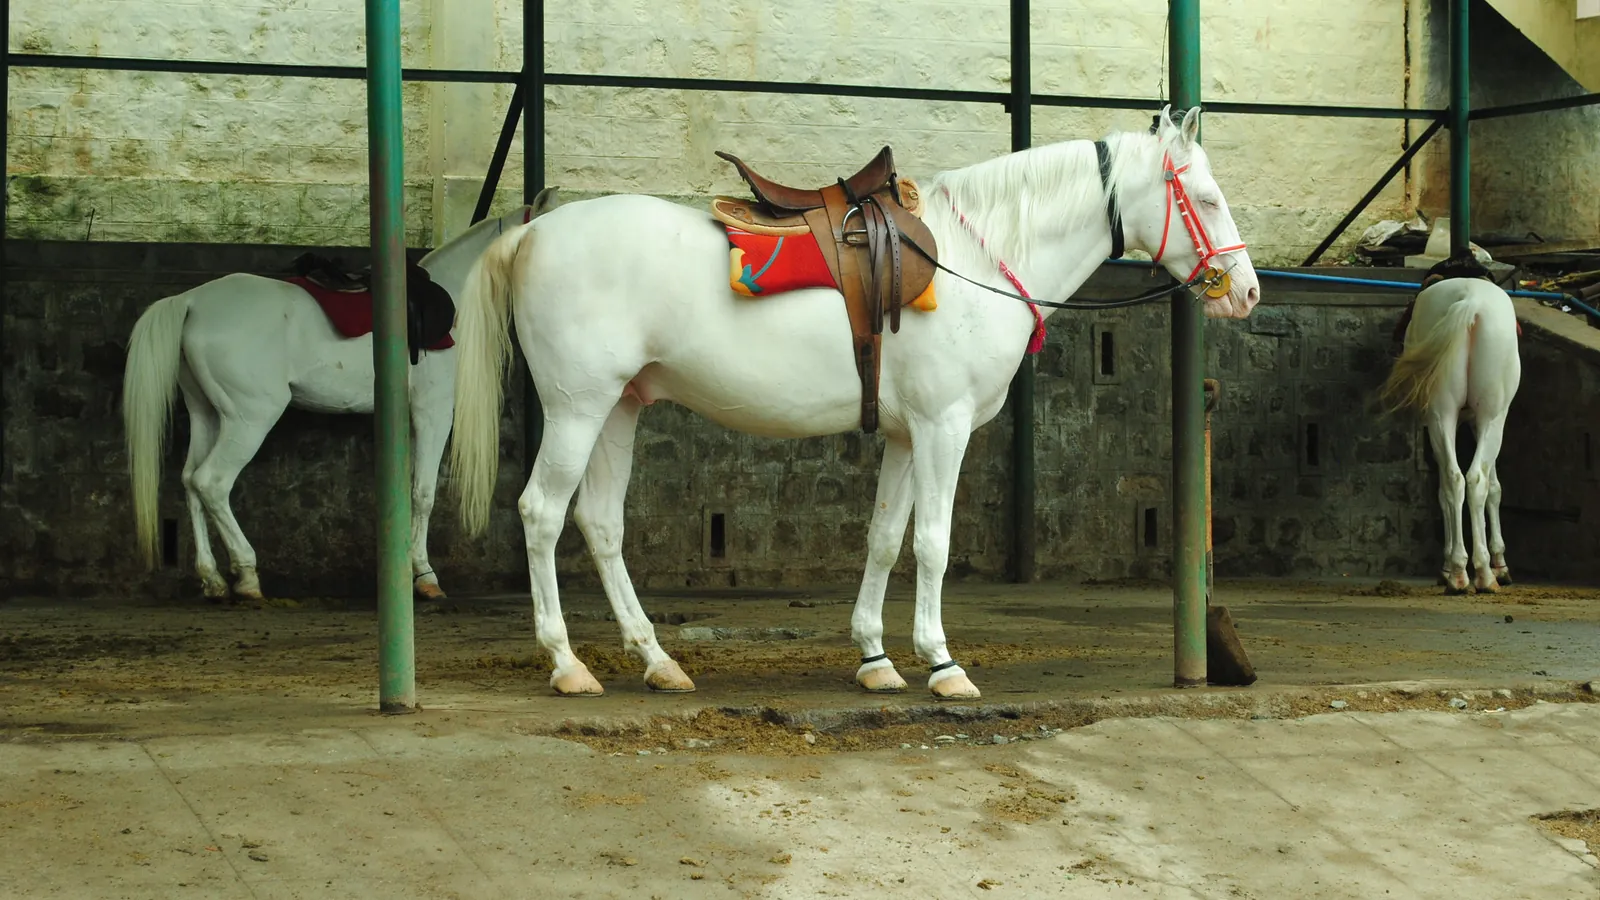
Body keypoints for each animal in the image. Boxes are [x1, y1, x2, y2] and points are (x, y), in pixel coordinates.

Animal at [121, 194, 556, 603]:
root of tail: (191, 302)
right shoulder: (432, 413)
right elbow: (424, 494)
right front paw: (425, 576)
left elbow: (407, 490)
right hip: (249, 418)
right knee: (211, 482)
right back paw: (246, 576)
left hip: (208, 415)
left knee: (190, 482)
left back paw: (212, 580)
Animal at [448, 106, 1260, 700]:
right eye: (1208, 198)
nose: (1249, 291)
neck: (975, 258)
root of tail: (531, 233)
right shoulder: (943, 428)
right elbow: (932, 542)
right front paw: (942, 664)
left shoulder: (906, 435)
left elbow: (884, 538)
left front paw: (875, 658)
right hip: (578, 407)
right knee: (542, 514)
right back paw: (566, 663)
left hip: (620, 406)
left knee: (601, 525)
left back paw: (657, 660)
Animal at [1380, 254, 1521, 594]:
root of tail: (1470, 304)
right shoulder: (1482, 421)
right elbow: (1493, 486)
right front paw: (1499, 563)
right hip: (1484, 414)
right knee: (1468, 479)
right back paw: (1476, 572)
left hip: (1444, 413)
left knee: (1456, 480)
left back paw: (1460, 571)